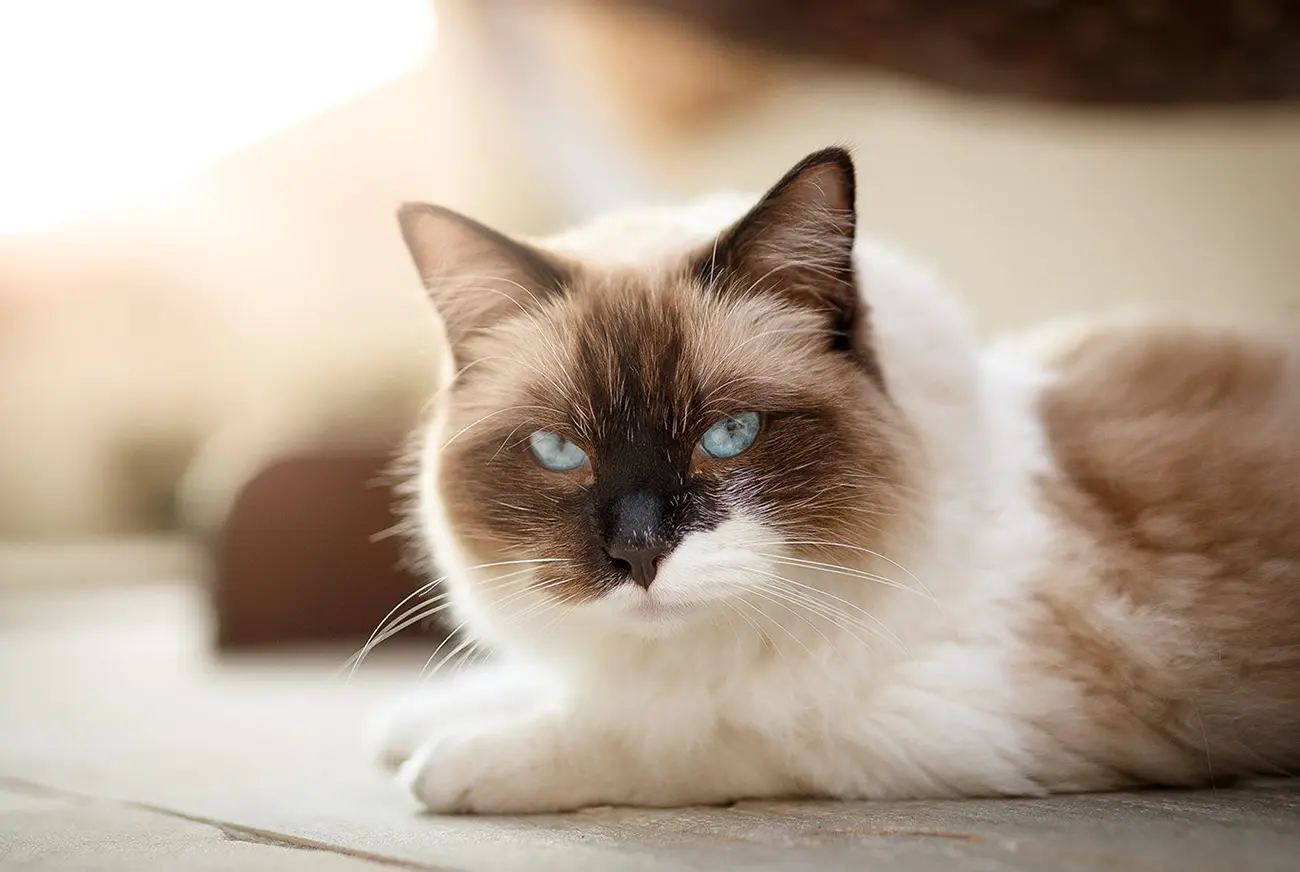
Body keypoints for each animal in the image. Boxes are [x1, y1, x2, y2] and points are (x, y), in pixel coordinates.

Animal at [369, 144, 1300, 821]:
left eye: (729, 436)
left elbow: (679, 734)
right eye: (559, 451)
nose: (637, 554)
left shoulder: (940, 721)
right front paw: (416, 720)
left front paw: (457, 761)